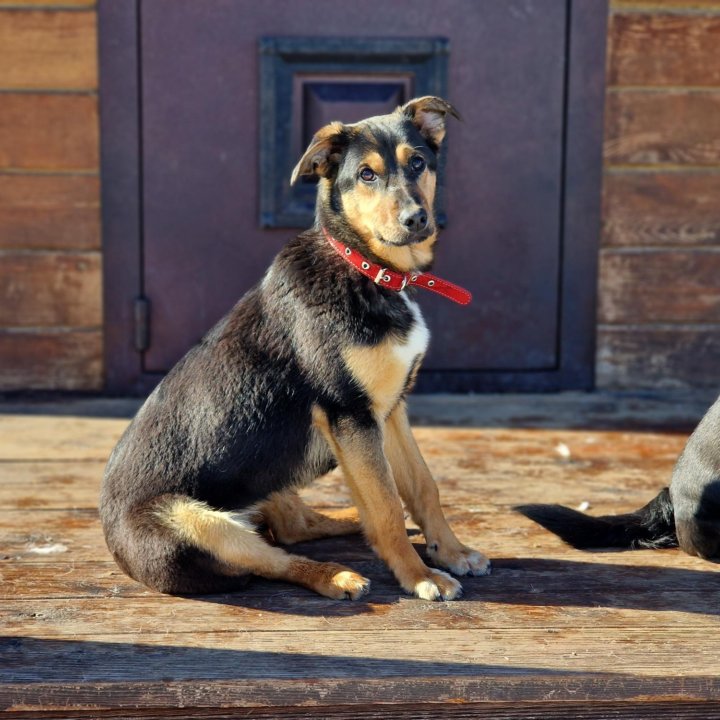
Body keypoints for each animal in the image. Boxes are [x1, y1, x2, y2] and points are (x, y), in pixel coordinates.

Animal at [100, 95, 490, 600]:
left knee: (292, 525)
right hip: (194, 522)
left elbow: (422, 486)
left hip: (273, 477)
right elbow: (385, 503)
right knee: (274, 557)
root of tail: (110, 535)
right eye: (366, 174)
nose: (416, 219)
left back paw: (348, 516)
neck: (370, 270)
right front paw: (419, 575)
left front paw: (452, 551)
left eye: (418, 163)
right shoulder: (350, 413)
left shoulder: (390, 409)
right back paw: (337, 576)